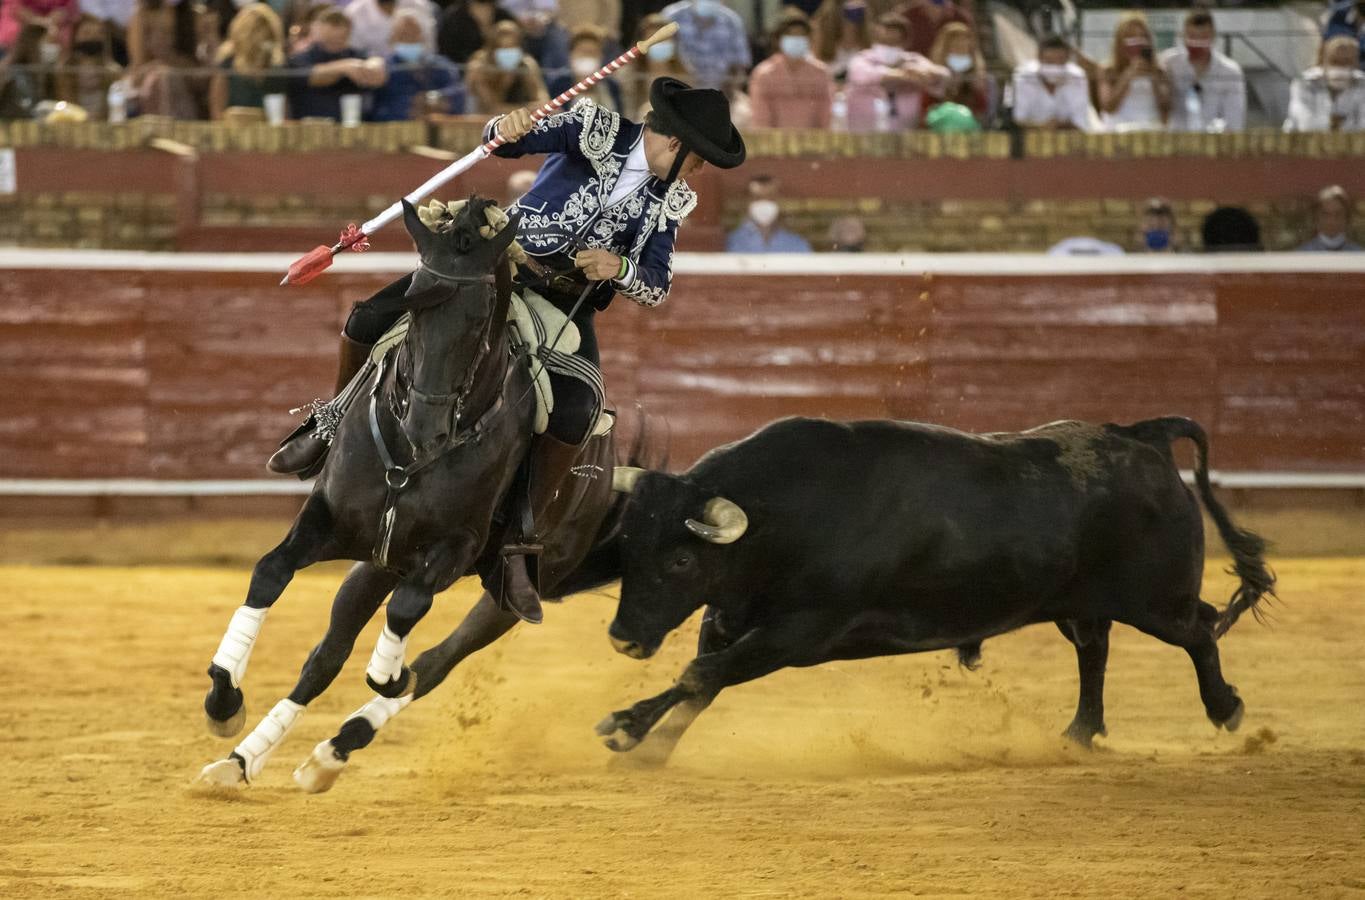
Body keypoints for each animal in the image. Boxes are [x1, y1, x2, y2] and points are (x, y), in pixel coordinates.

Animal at [199, 200, 636, 792]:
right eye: (413, 297)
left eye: (480, 316)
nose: (424, 429)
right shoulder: (331, 519)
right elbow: (271, 571)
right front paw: (224, 702)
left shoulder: (454, 547)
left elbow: (407, 616)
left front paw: (389, 673)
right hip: (378, 562)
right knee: (325, 655)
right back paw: (245, 759)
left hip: (509, 591)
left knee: (435, 662)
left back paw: (336, 747)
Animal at [600, 415, 1277, 759]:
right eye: (625, 544)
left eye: (681, 560)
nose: (623, 639)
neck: (782, 514)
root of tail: (1140, 436)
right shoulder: (731, 618)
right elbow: (704, 681)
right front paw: (648, 744)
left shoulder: (798, 631)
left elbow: (700, 677)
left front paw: (627, 726)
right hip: (1079, 601)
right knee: (1097, 649)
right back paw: (1079, 735)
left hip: (1155, 600)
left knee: (1198, 630)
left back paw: (1227, 709)